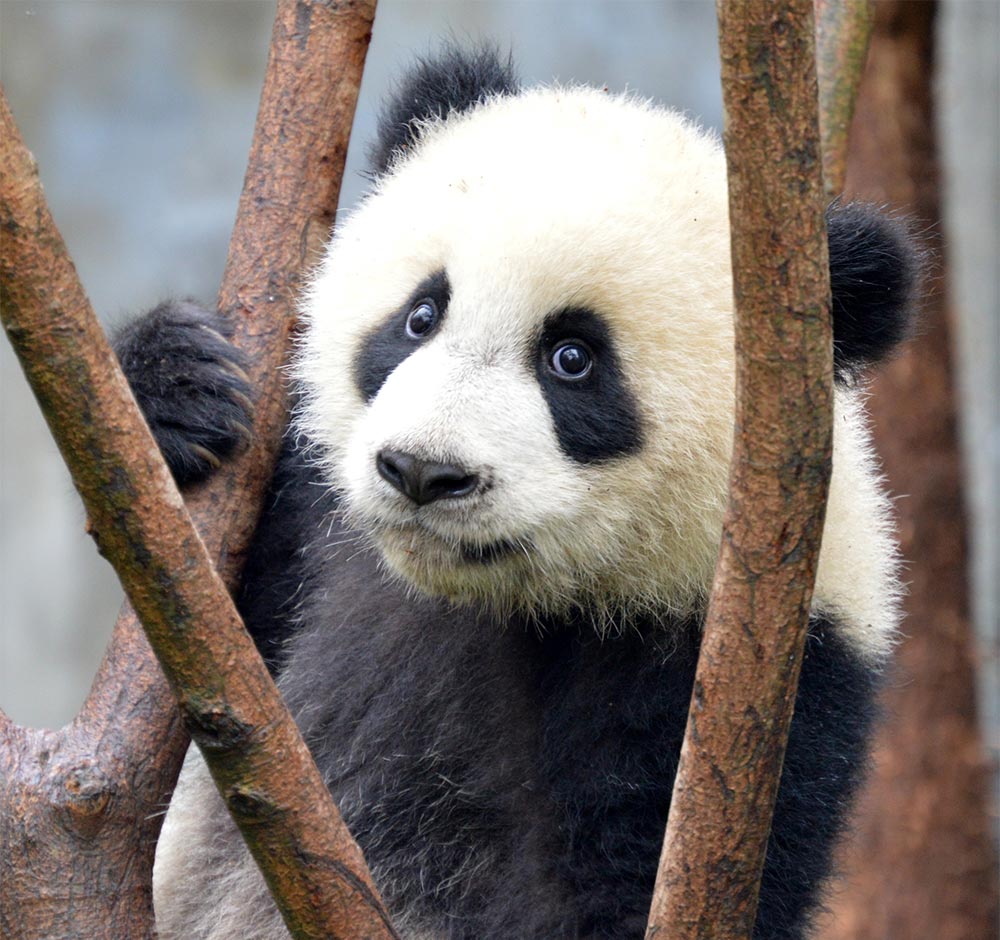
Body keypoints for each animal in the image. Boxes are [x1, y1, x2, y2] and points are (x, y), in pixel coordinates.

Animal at [115, 46, 918, 940]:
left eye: (572, 359)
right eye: (421, 314)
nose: (423, 471)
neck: (499, 601)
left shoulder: (740, 681)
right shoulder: (314, 534)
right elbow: (211, 642)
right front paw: (175, 385)